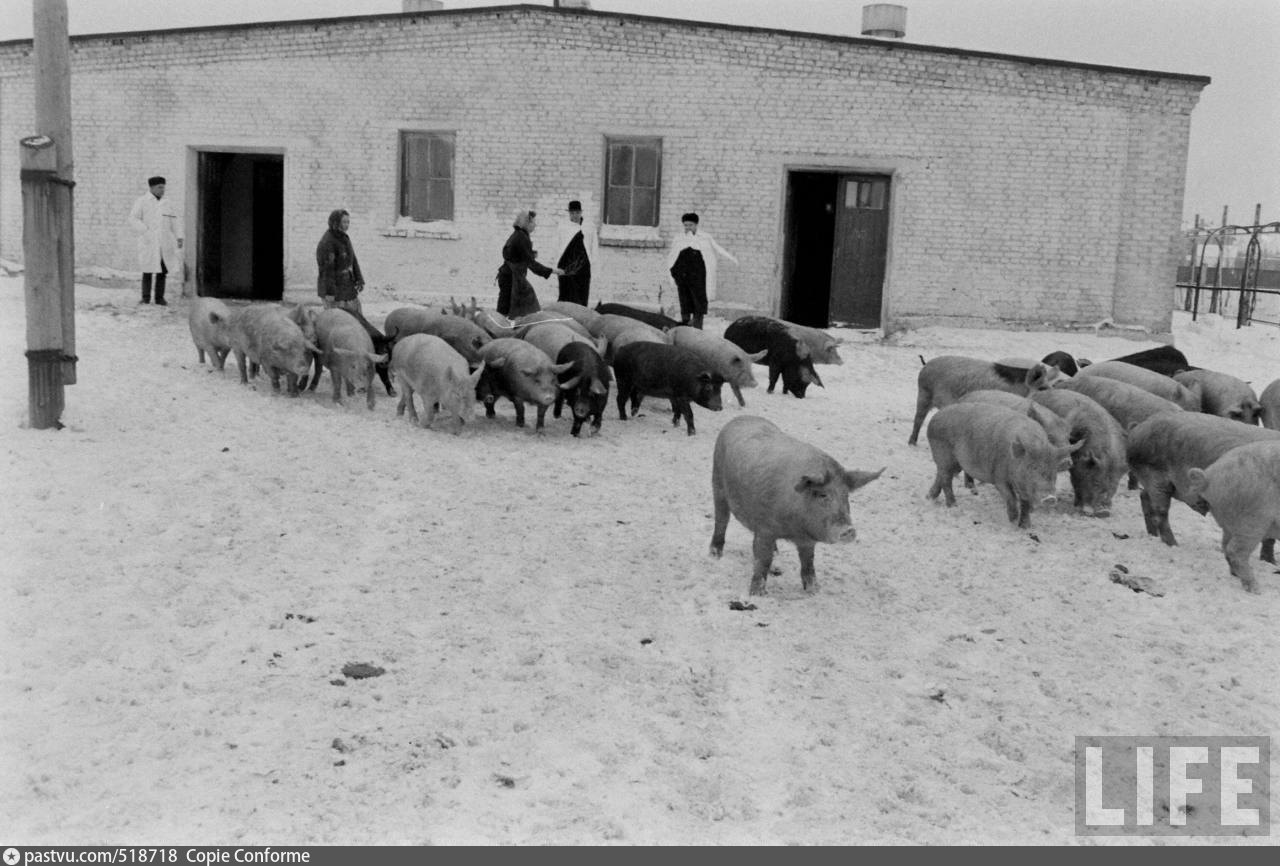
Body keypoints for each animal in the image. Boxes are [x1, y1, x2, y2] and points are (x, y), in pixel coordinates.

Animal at [706, 414, 885, 593]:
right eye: (822, 495)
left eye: (846, 495)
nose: (849, 530)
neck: (794, 527)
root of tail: (740, 418)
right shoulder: (764, 528)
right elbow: (762, 560)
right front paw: (757, 594)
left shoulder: (807, 541)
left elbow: (808, 565)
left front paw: (814, 591)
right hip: (717, 484)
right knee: (721, 521)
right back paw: (714, 556)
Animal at [926, 399, 1085, 527]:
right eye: (1032, 467)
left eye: (1053, 470)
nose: (1050, 498)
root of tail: (935, 418)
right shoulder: (999, 477)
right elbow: (1011, 497)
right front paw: (1013, 520)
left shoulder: (1025, 486)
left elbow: (1025, 502)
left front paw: (1026, 527)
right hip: (943, 454)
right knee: (946, 479)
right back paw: (953, 505)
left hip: (955, 463)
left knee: (941, 475)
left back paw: (930, 498)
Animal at [1029, 386, 1131, 514]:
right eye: (1096, 482)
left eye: (1114, 485)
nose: (1104, 512)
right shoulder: (1076, 466)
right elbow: (1076, 482)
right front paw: (1077, 505)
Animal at [1126, 411, 1274, 547]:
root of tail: (1139, 427)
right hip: (1155, 476)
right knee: (1160, 511)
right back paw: (1174, 544)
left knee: (1144, 496)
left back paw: (1153, 535)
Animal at [1182, 442, 1274, 590]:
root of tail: (1208, 476)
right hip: (1254, 519)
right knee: (1235, 551)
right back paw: (1255, 588)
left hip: (1231, 522)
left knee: (1225, 546)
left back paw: (1236, 575)